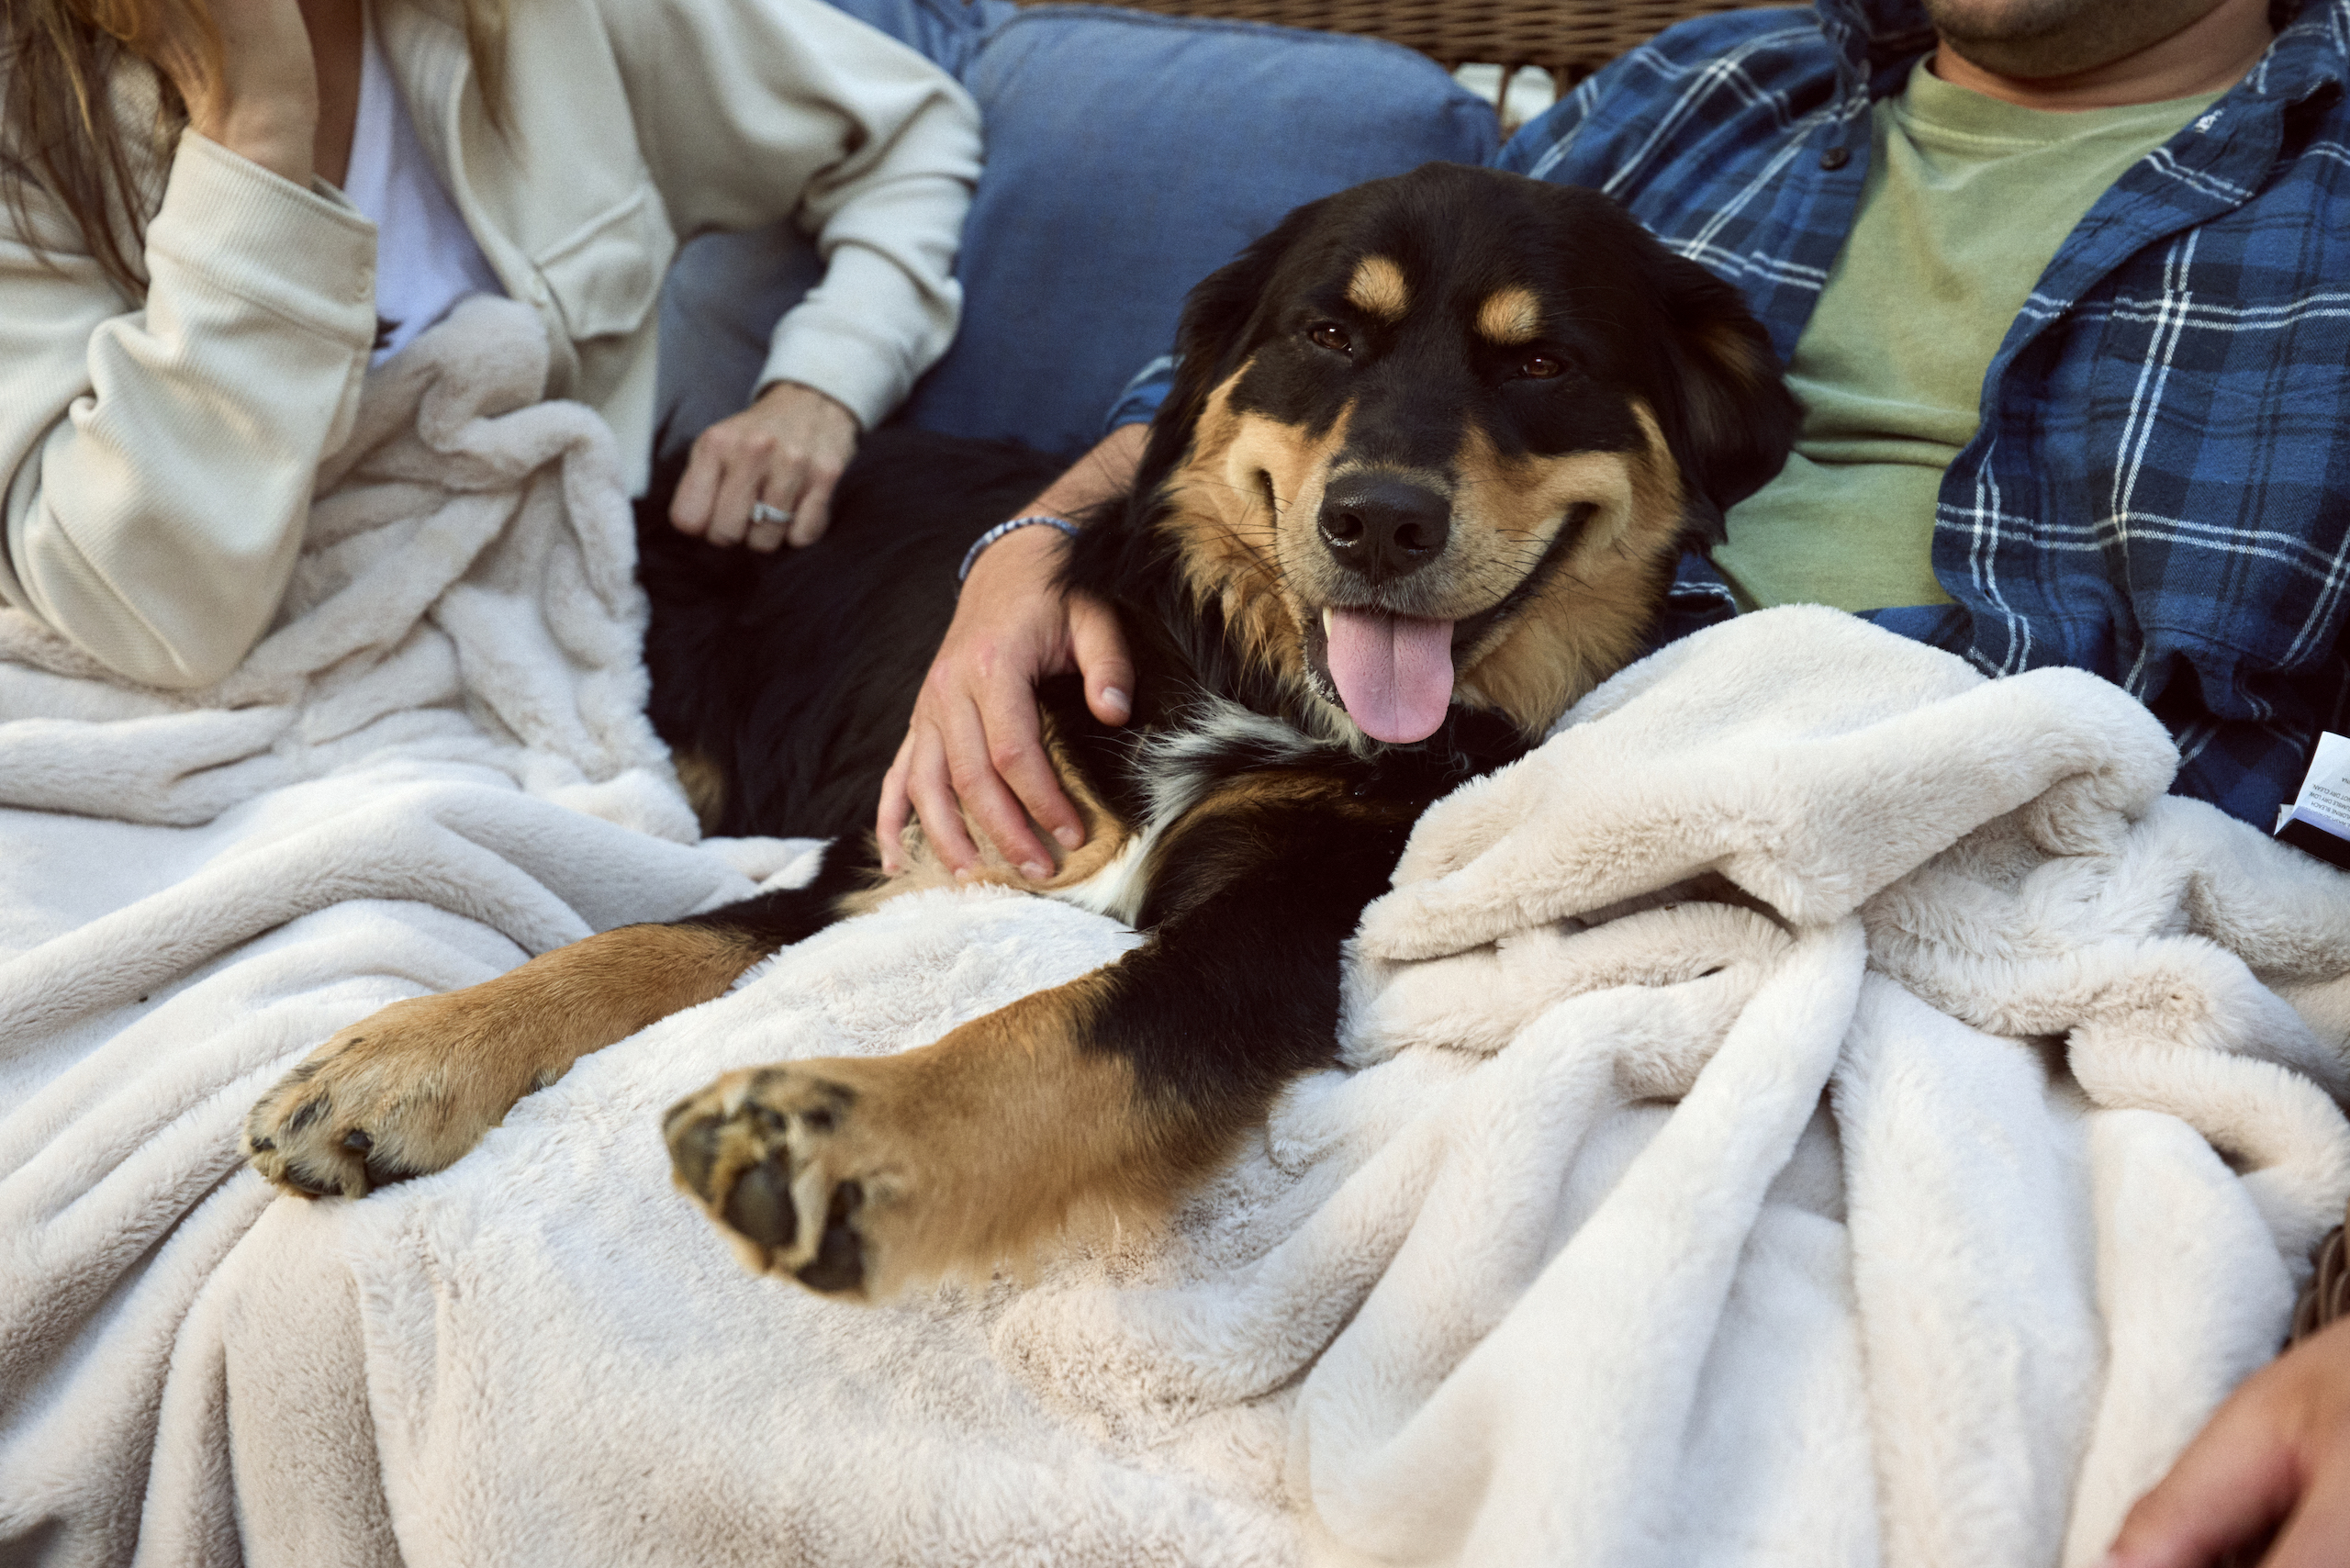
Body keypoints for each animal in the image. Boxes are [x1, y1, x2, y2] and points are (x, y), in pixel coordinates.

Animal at [242, 165, 1795, 1306]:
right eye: (1326, 336)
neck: (1242, 676)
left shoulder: (1274, 927)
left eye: (1542, 362)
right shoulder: (897, 847)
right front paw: (397, 1062)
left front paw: (852, 1141)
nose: (1380, 522)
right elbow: (655, 942)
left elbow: (1060, 1026)